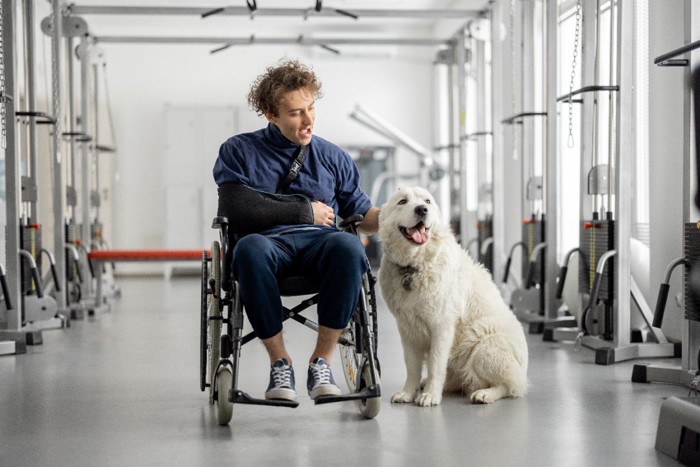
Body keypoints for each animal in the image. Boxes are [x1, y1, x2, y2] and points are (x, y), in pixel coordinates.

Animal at [380, 186, 528, 406]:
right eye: (402, 201)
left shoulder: (441, 326)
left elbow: (435, 364)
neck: (415, 266)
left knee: (511, 386)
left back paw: (484, 394)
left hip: (483, 342)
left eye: (427, 201)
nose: (422, 210)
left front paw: (430, 395)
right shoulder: (407, 328)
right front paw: (407, 392)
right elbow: (411, 366)